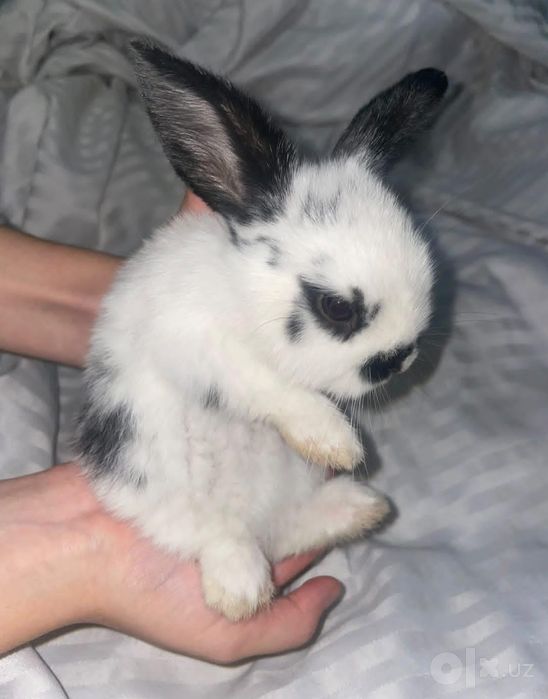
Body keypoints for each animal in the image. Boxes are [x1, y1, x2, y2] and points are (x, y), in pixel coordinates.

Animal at [76, 40, 447, 622]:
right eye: (337, 308)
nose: (399, 359)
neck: (243, 299)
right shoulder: (200, 345)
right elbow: (270, 385)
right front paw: (335, 441)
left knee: (289, 528)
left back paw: (361, 508)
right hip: (151, 475)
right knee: (214, 532)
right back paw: (243, 589)